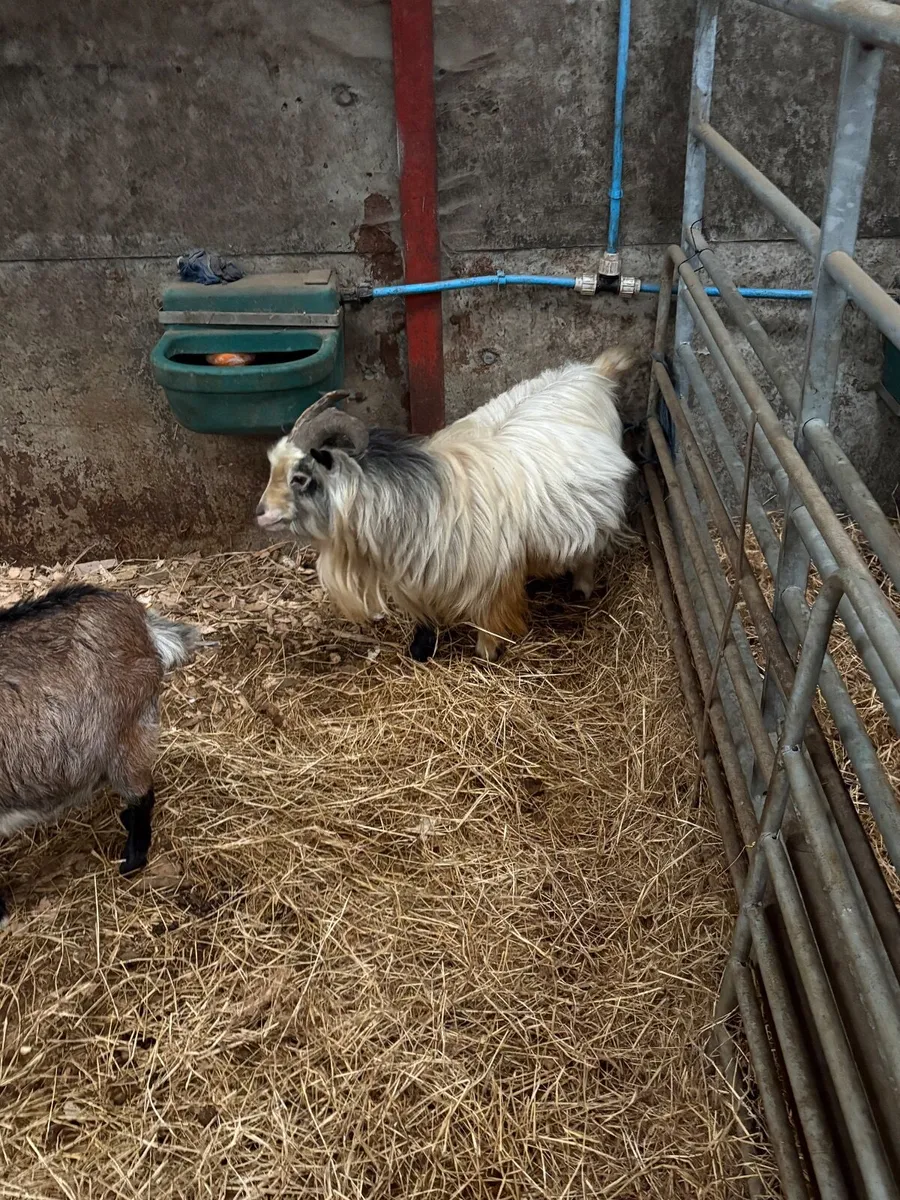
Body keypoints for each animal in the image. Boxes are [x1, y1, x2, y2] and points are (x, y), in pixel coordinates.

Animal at [256, 347, 636, 662]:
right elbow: (426, 620)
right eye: (273, 466)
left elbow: (488, 624)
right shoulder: (418, 577)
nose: (260, 513)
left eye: (300, 478)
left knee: (589, 552)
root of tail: (594, 373)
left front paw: (487, 655)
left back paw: (581, 589)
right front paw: (422, 649)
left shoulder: (493, 579)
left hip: (598, 518)